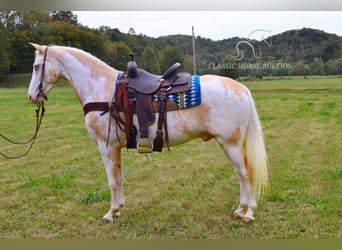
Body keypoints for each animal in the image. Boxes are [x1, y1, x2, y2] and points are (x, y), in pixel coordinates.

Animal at [27, 43, 268, 223]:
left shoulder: (106, 146)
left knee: (245, 173)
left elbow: (112, 180)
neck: (102, 89)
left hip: (231, 144)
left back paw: (249, 212)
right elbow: (120, 177)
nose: (31, 96)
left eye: (37, 66)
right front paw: (119, 208)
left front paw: (110, 213)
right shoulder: (116, 147)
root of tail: (241, 88)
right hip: (229, 145)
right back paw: (240, 210)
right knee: (240, 174)